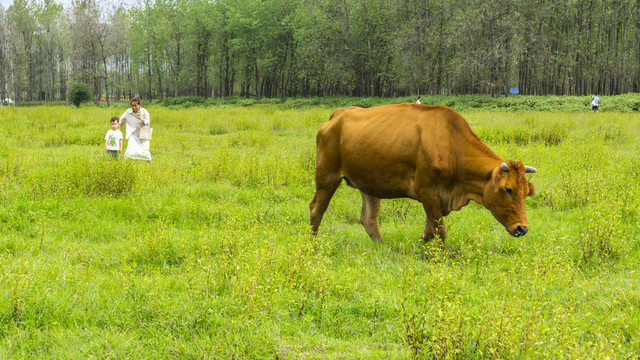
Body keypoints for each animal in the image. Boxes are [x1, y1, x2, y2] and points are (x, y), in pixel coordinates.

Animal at [310, 104, 536, 245]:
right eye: (508, 189)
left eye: (526, 192)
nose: (522, 228)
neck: (452, 146)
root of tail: (339, 115)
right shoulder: (427, 191)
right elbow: (439, 230)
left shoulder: (437, 199)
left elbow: (430, 229)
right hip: (327, 176)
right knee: (317, 209)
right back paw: (312, 242)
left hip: (368, 183)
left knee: (369, 218)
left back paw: (382, 247)